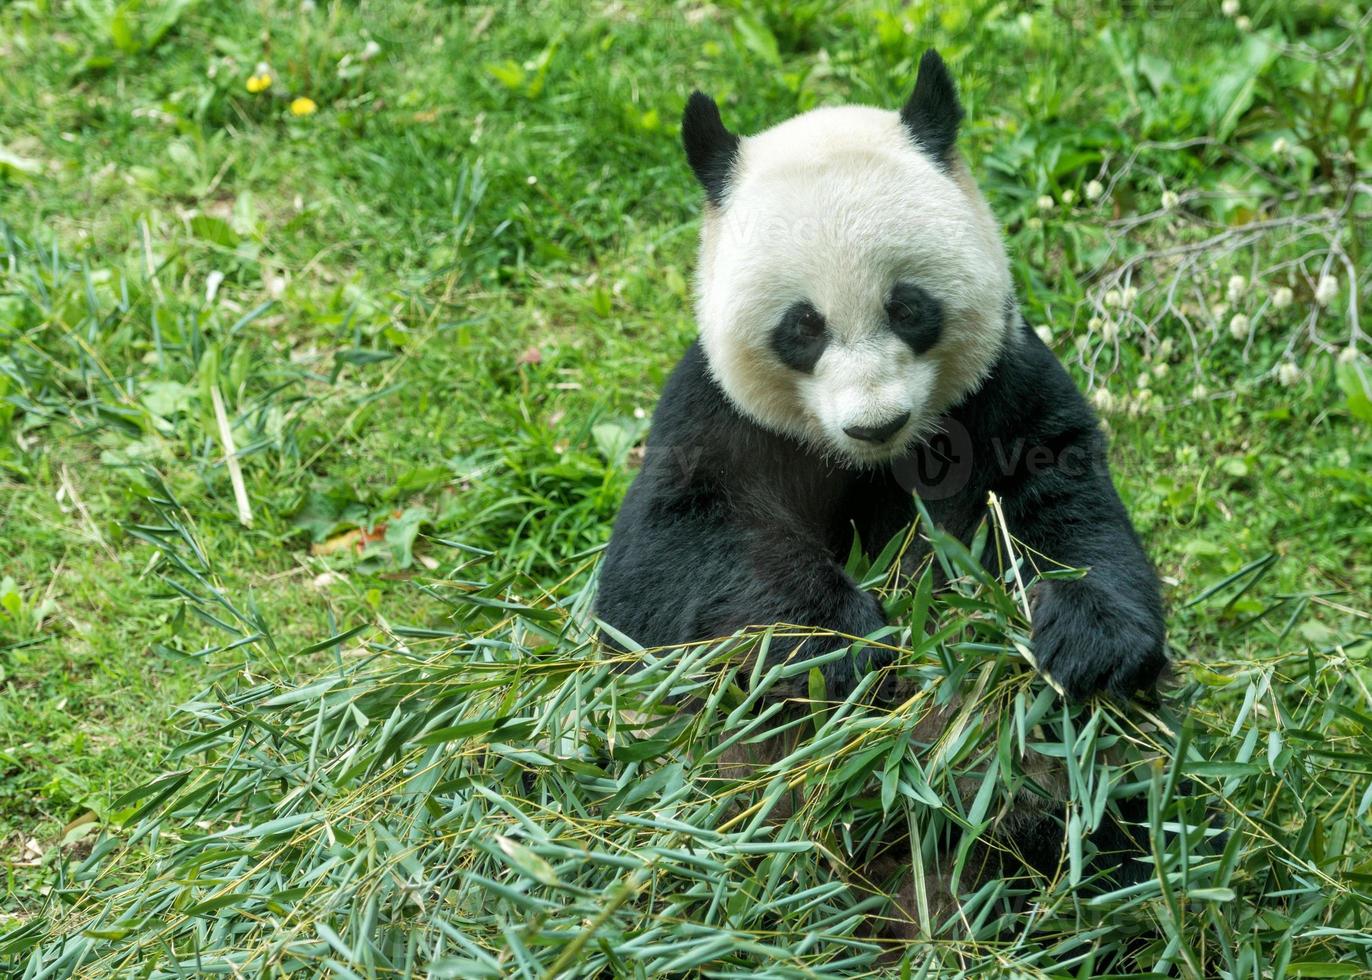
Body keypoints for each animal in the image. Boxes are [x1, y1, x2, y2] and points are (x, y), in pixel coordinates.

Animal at [595, 53, 1163, 933]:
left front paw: (1082, 640)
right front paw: (850, 642)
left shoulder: (998, 389)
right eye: (802, 327)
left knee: (1118, 811)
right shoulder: (715, 414)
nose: (876, 423)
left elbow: (1058, 509)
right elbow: (665, 563)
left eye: (910, 307)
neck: (869, 463)